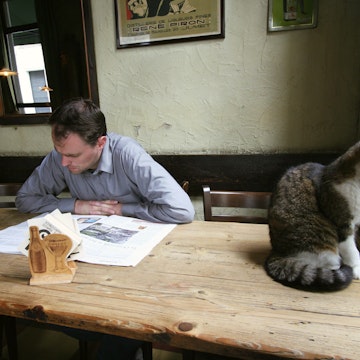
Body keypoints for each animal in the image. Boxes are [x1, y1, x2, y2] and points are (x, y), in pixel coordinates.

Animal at [262, 139, 360, 292]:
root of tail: (276, 252)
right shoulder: (343, 224)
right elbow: (352, 251)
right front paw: (356, 268)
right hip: (322, 244)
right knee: (328, 267)